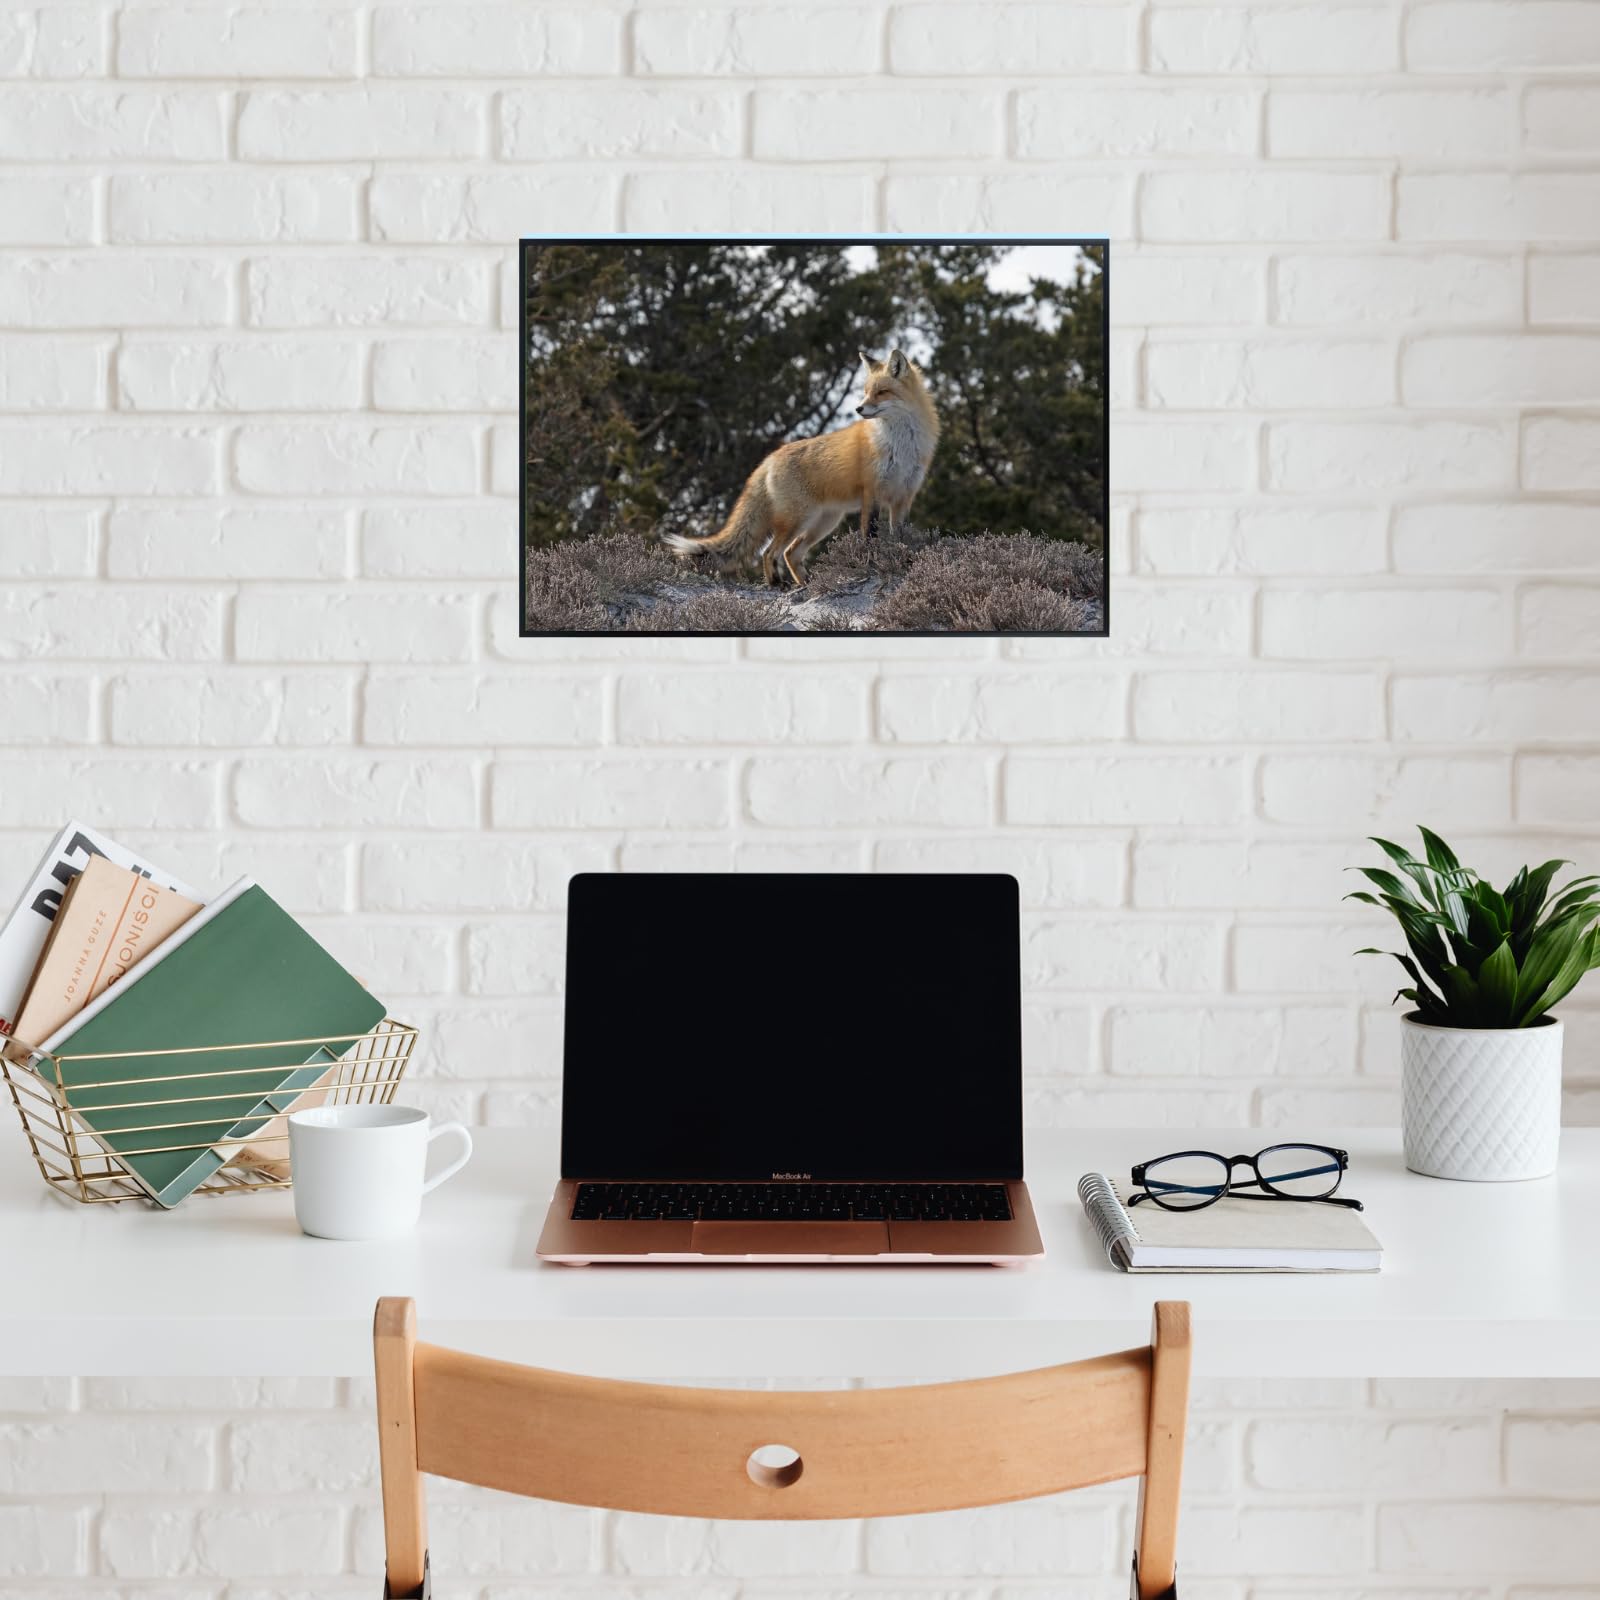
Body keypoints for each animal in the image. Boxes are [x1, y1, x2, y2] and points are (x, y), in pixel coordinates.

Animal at [664, 348, 940, 589]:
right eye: (865, 392)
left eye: (882, 392)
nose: (858, 409)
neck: (900, 445)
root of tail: (768, 459)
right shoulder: (871, 493)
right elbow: (869, 538)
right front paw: (871, 566)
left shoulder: (903, 497)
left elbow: (901, 538)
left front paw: (903, 564)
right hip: (799, 519)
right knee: (770, 552)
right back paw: (778, 584)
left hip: (824, 521)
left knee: (790, 553)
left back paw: (807, 584)